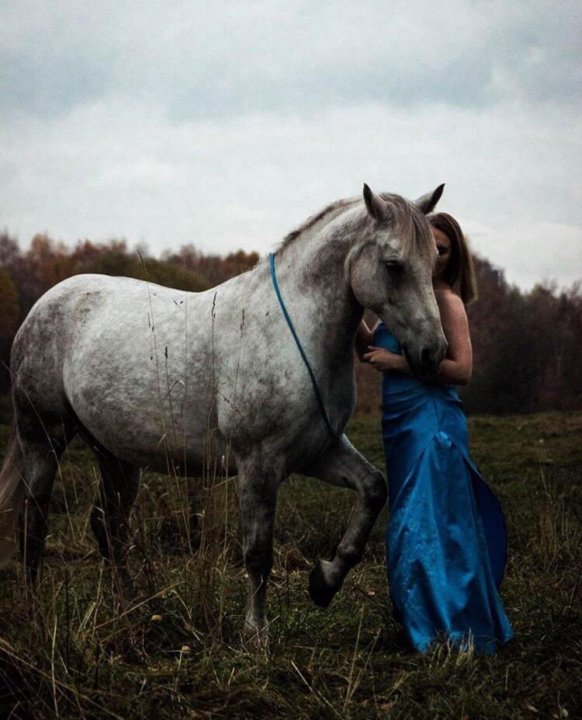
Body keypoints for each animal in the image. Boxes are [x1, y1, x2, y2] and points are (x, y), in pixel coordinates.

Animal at [0, 184, 448, 636]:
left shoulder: (317, 451)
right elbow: (258, 552)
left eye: (433, 262)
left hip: (114, 455)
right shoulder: (259, 463)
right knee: (33, 522)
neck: (291, 332)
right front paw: (257, 631)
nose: (434, 353)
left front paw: (323, 582)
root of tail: (45, 303)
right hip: (43, 438)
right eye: (393, 265)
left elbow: (374, 488)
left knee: (107, 527)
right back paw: (36, 614)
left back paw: (129, 607)